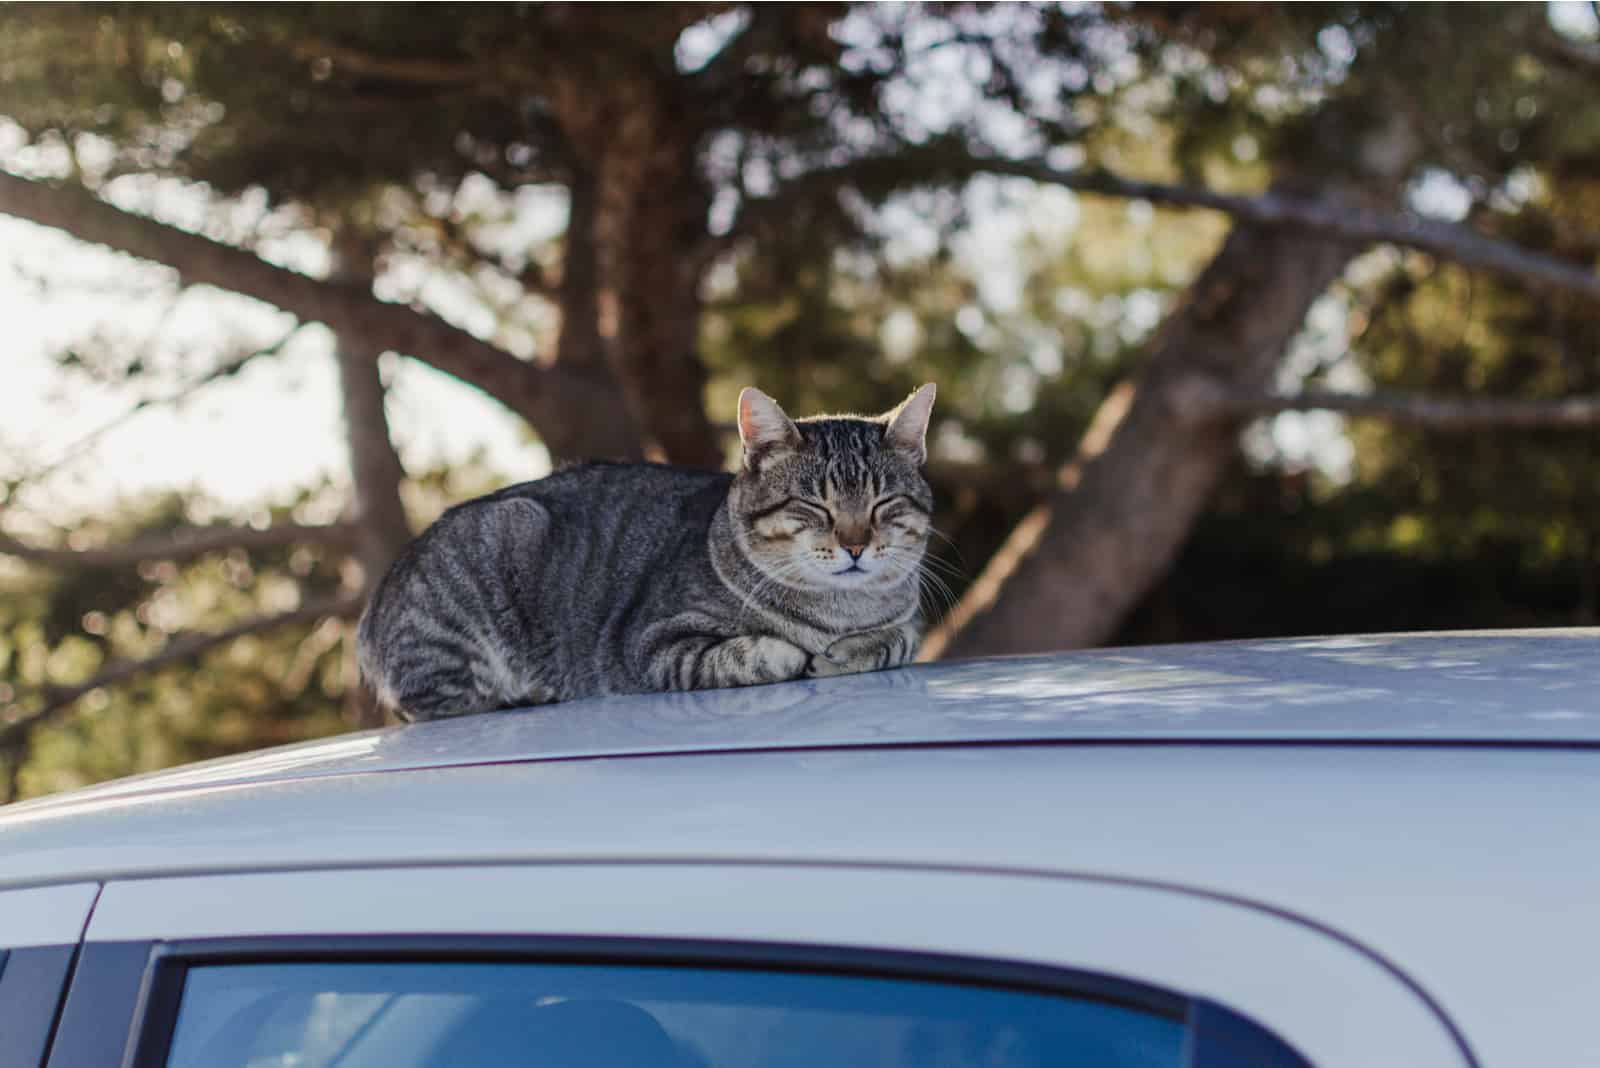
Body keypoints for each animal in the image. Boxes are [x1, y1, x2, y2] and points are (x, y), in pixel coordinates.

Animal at [360, 378, 934, 722]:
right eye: (815, 504)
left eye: (883, 503)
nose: (856, 545)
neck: (839, 613)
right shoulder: (654, 645)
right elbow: (748, 653)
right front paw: (801, 653)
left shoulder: (908, 624)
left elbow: (896, 641)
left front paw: (849, 651)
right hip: (503, 541)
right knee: (434, 701)